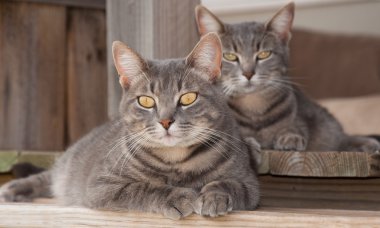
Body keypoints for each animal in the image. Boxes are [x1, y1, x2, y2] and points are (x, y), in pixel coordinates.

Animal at [0, 32, 260, 219]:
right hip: (67, 167)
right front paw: (175, 196)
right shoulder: (101, 185)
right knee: (47, 176)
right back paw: (14, 189)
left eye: (188, 98)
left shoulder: (249, 183)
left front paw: (215, 195)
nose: (165, 121)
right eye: (146, 101)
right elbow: (142, 188)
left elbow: (231, 184)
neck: (175, 161)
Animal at [196, 2, 380, 153]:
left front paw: (290, 136)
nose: (248, 73)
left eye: (264, 54)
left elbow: (296, 127)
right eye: (230, 56)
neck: (253, 108)